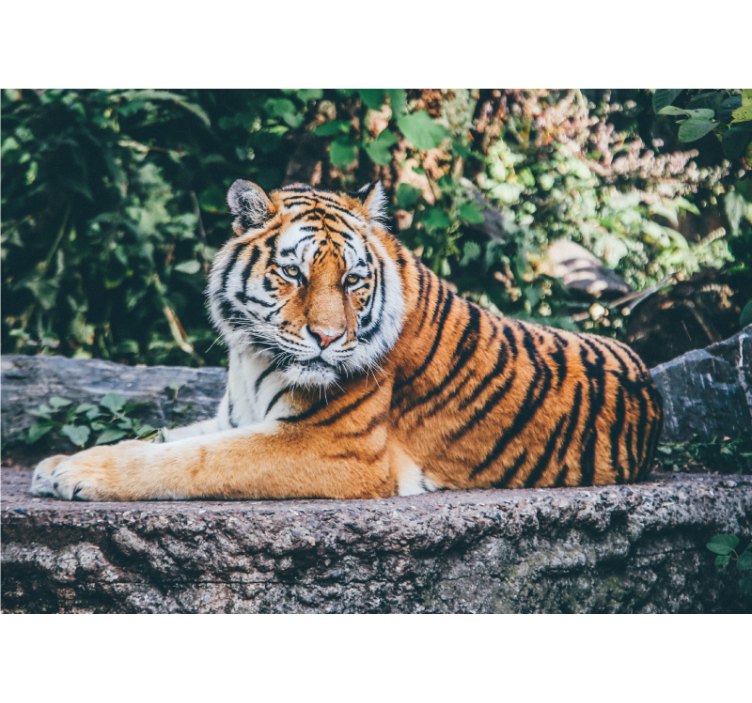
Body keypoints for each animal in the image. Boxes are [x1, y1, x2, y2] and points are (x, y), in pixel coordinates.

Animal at [31, 180, 664, 501]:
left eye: (354, 281)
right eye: (294, 274)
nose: (328, 337)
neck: (250, 356)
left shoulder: (332, 446)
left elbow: (192, 460)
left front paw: (78, 474)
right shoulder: (234, 417)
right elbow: (164, 438)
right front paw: (59, 462)